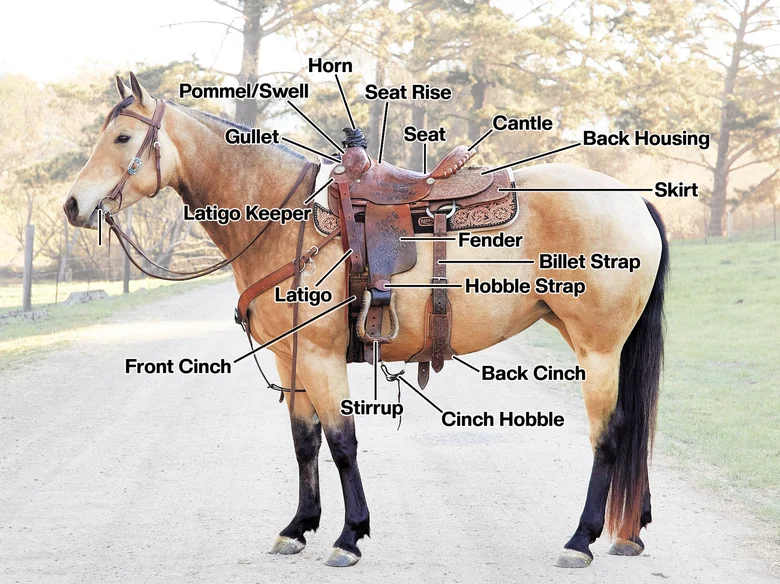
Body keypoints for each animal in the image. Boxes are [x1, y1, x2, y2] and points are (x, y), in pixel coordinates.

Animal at [64, 73, 668, 569]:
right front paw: (298, 528)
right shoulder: (292, 360)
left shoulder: (323, 358)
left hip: (597, 348)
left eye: (122, 139)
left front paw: (349, 536)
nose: (72, 205)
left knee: (610, 433)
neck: (286, 220)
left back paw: (581, 540)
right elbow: (304, 442)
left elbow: (342, 443)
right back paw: (630, 532)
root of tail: (633, 200)